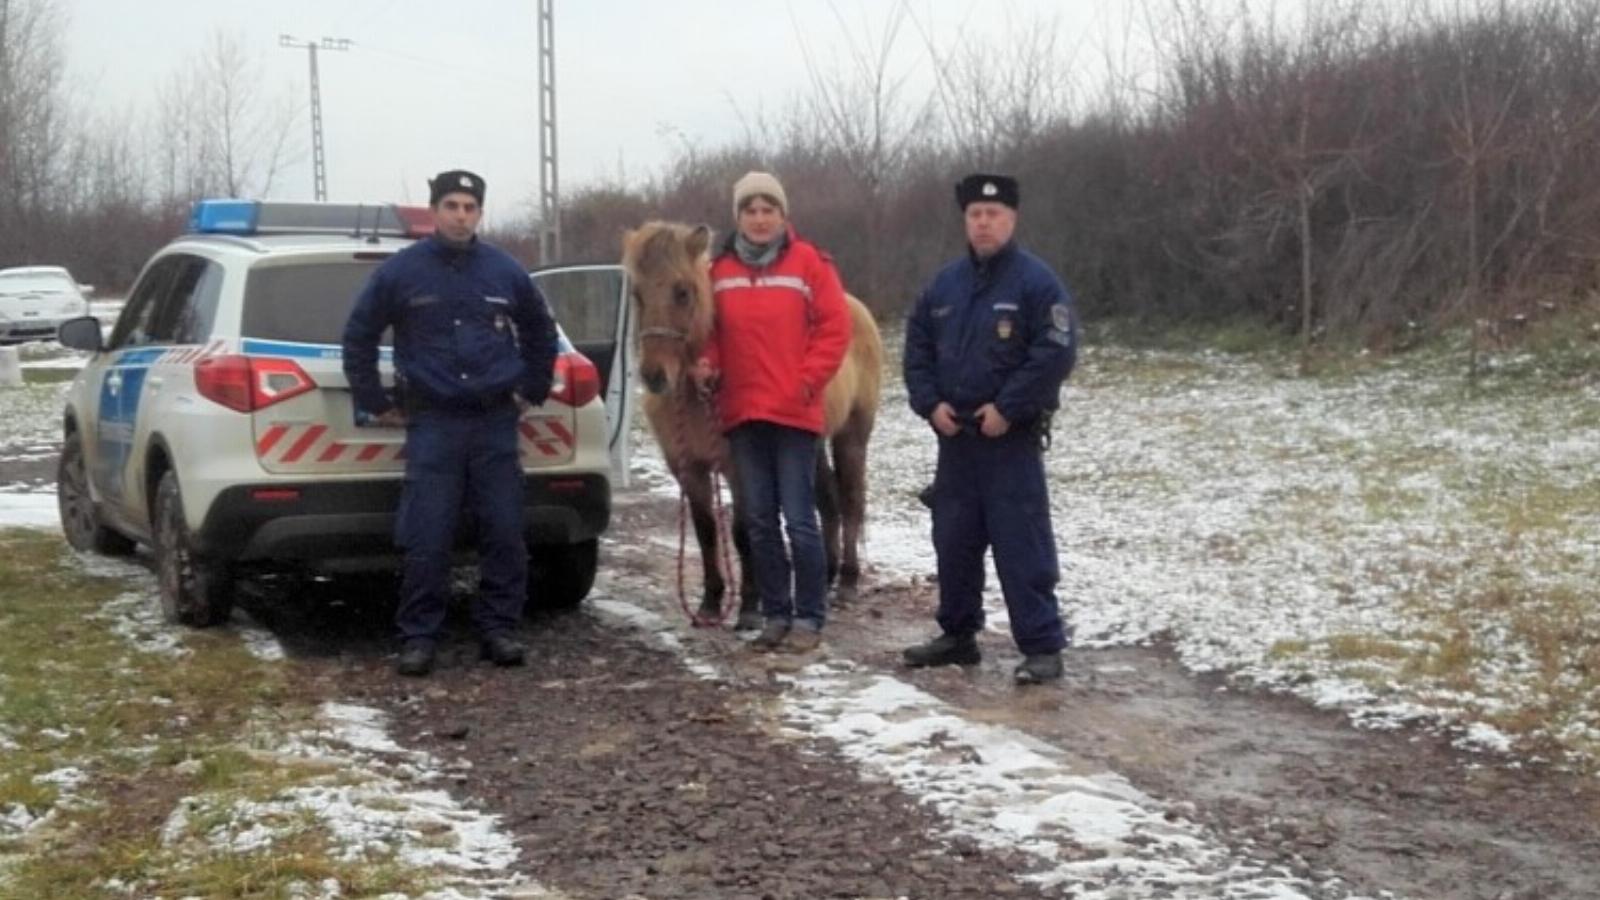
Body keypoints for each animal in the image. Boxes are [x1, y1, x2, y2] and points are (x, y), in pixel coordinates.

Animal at [617, 219, 883, 624]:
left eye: (683, 292)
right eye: (637, 294)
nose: (655, 376)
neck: (699, 395)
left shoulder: (739, 467)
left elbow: (743, 530)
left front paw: (749, 605)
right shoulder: (687, 468)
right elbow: (706, 530)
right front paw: (711, 602)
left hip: (851, 437)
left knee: (851, 500)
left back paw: (848, 581)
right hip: (812, 445)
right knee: (828, 501)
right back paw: (826, 577)